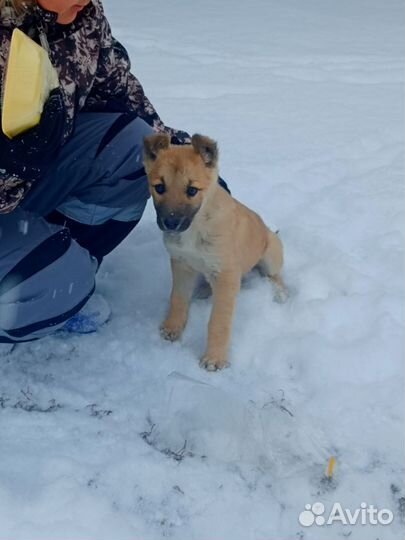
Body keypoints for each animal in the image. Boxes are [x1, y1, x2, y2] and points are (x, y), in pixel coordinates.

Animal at [144, 132, 286, 370]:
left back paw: (280, 293)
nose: (170, 223)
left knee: (276, 276)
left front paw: (215, 358)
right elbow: (178, 299)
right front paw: (172, 327)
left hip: (270, 252)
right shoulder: (181, 264)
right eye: (159, 187)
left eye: (192, 190)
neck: (197, 227)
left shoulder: (226, 274)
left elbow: (218, 321)